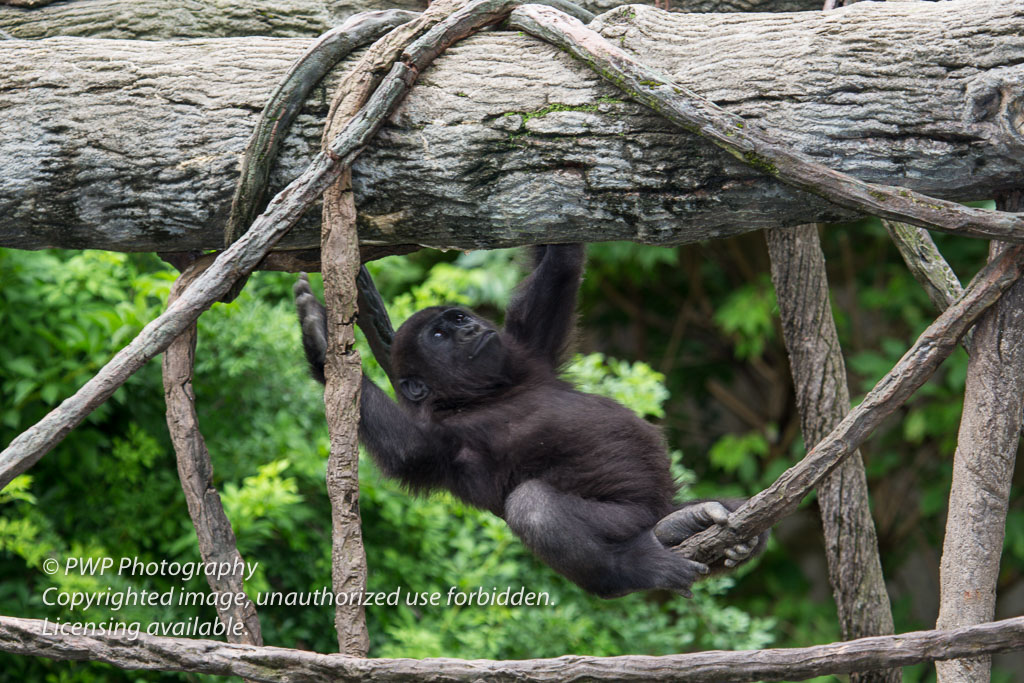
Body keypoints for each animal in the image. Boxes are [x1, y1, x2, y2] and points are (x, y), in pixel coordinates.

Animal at [292, 246, 765, 598]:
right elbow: (409, 447)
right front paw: (320, 343)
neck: (476, 396)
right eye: (439, 337)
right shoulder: (446, 439)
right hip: (627, 522)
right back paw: (630, 569)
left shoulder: (526, 351)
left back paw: (692, 524)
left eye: (458, 318)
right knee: (533, 507)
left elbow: (558, 268)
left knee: (738, 515)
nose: (469, 329)